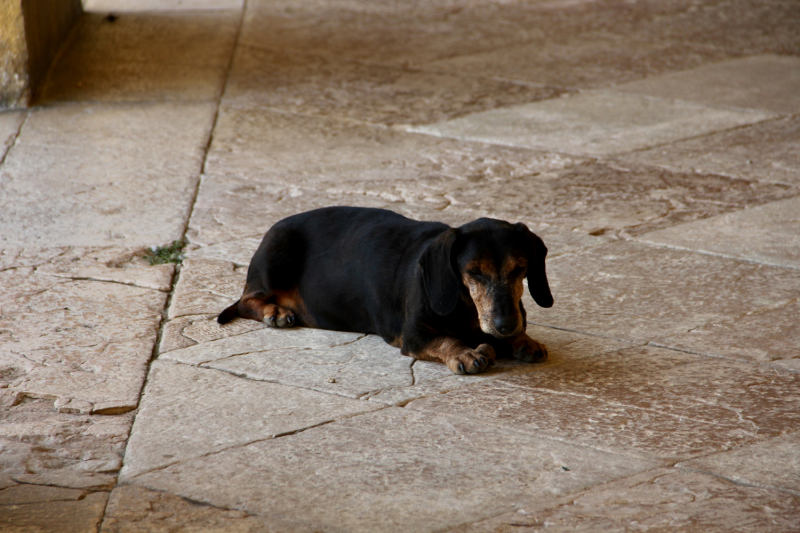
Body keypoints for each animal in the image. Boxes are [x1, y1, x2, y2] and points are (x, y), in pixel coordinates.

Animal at [219, 206, 556, 372]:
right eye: (474, 272)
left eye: (520, 269)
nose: (505, 326)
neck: (466, 306)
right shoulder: (414, 335)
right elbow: (446, 339)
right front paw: (464, 353)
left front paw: (524, 340)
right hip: (277, 252)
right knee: (248, 300)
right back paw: (274, 311)